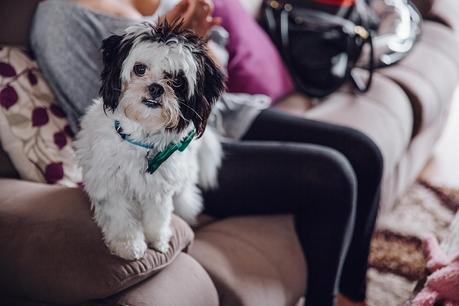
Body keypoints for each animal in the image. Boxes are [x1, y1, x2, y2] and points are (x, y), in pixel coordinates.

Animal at [74, 20, 226, 260]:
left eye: (177, 81)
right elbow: (120, 217)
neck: (141, 139)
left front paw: (157, 239)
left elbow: (158, 216)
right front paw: (128, 244)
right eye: (140, 69)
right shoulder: (111, 185)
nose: (156, 87)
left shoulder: (159, 190)